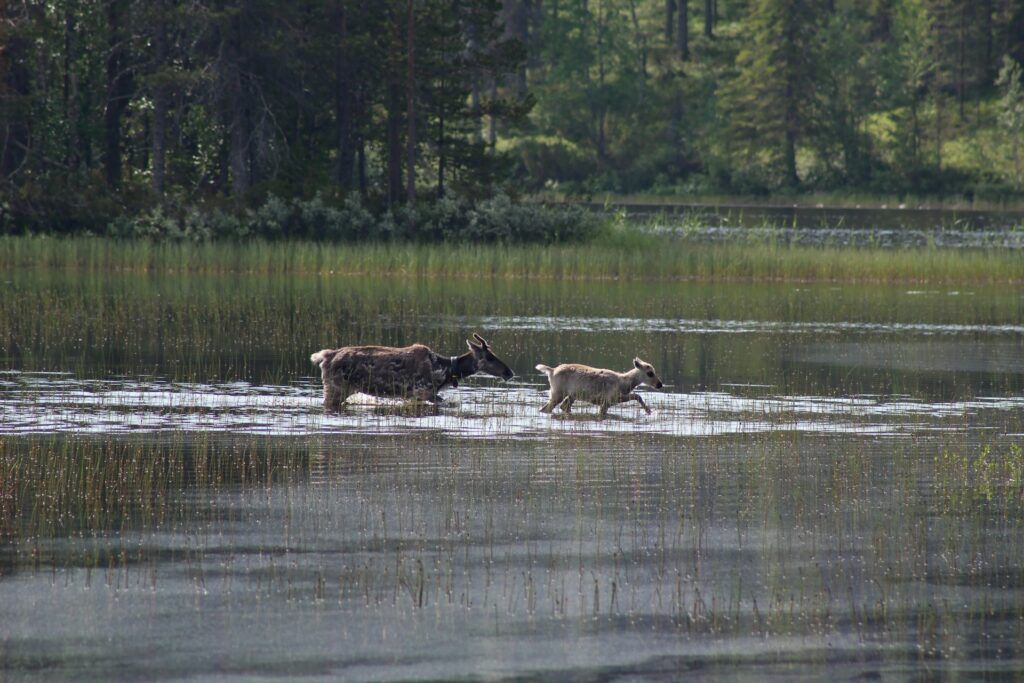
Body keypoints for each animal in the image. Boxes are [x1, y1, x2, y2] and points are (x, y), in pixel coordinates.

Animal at [532, 358, 667, 417]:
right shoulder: (608, 400)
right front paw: (648, 411)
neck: (624, 383)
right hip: (558, 393)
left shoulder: (613, 400)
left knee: (563, 406)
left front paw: (649, 410)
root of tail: (551, 370)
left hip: (571, 396)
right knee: (547, 408)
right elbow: (637, 395)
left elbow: (637, 395)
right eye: (650, 373)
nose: (660, 384)